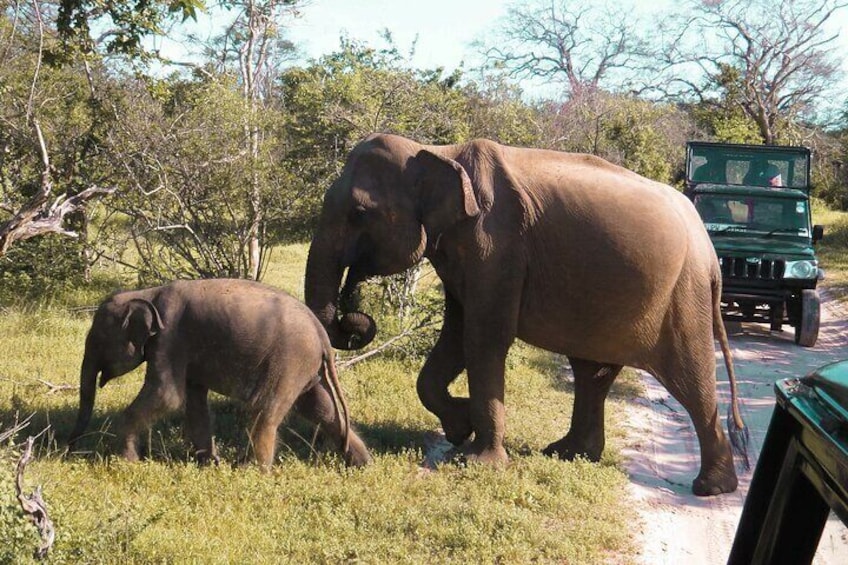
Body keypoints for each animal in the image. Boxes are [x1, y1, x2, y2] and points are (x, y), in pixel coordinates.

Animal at [68, 278, 370, 468]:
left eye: (97, 341)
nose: (69, 447)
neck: (147, 293)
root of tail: (322, 334)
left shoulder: (169, 339)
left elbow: (167, 395)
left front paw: (127, 462)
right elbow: (193, 401)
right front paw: (208, 463)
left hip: (289, 360)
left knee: (265, 409)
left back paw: (251, 470)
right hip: (305, 367)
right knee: (320, 409)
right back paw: (361, 463)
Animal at [306, 132, 748, 494]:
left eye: (359, 213)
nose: (356, 318)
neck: (437, 151)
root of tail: (709, 252)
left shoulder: (496, 245)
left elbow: (483, 337)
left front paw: (479, 462)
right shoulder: (465, 252)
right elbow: (456, 334)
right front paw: (459, 428)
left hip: (683, 296)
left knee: (690, 380)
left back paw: (711, 488)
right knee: (592, 374)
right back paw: (567, 453)